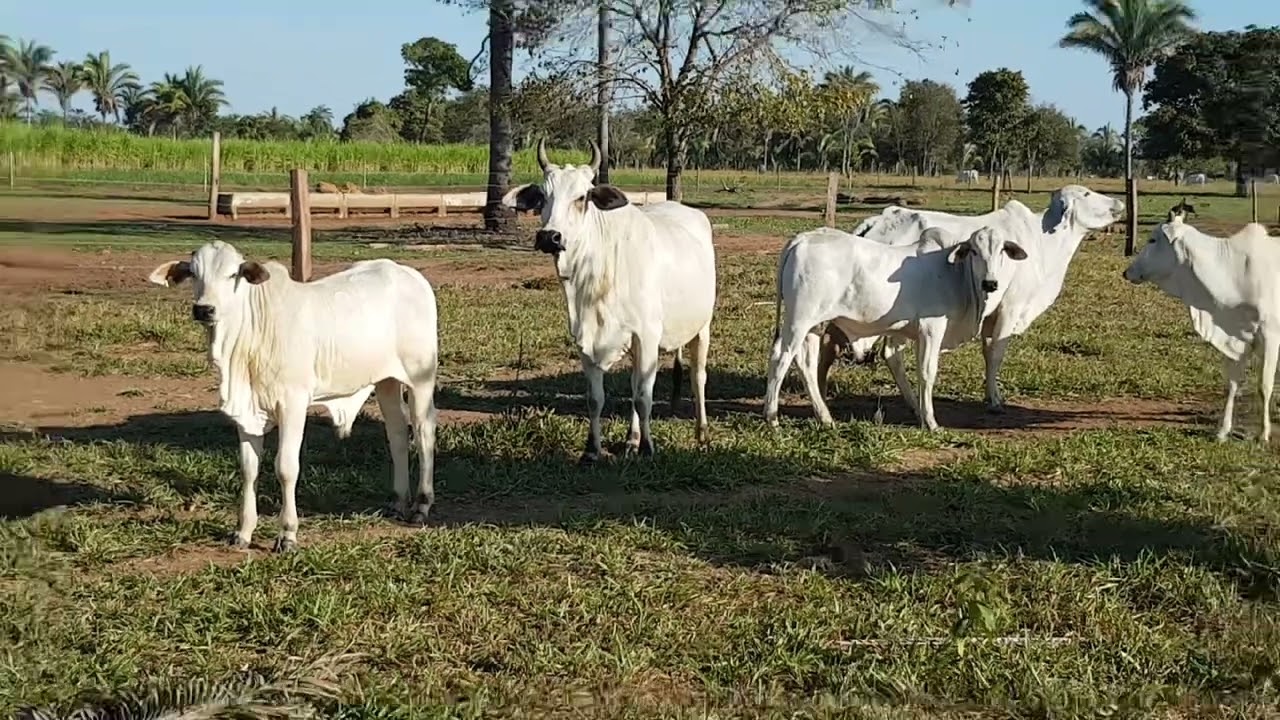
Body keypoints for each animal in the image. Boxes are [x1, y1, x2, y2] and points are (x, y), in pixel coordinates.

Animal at [147, 241, 440, 552]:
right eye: (193, 273)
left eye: (232, 274)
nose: (204, 309)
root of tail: (410, 276)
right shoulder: (247, 412)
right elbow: (249, 469)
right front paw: (243, 531)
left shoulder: (293, 405)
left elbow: (286, 468)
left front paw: (287, 534)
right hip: (385, 380)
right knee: (397, 432)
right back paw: (398, 501)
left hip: (420, 378)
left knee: (424, 432)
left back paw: (421, 505)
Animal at [506, 139, 717, 464]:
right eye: (542, 196)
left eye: (582, 197)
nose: (549, 237)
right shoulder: (585, 339)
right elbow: (597, 398)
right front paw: (593, 450)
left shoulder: (648, 335)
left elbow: (644, 396)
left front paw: (648, 448)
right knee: (634, 381)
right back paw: (631, 439)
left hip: (702, 327)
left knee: (698, 377)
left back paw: (701, 433)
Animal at [764, 223, 1030, 431]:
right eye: (974, 250)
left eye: (1001, 250)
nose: (990, 283)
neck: (955, 274)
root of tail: (802, 239)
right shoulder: (931, 328)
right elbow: (927, 372)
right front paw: (931, 422)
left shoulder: (905, 332)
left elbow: (900, 363)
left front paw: (919, 412)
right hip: (799, 320)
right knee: (780, 357)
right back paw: (772, 417)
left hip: (814, 325)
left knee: (806, 364)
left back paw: (825, 417)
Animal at [814, 185, 1124, 413]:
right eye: (1086, 194)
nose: (1119, 203)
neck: (1042, 241)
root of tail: (879, 220)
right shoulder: (1009, 308)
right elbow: (996, 353)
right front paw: (995, 400)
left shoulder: (989, 315)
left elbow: (987, 351)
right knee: (877, 351)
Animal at [1123, 217, 1280, 443]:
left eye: (1153, 240)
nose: (1126, 272)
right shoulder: (1233, 338)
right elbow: (1232, 385)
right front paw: (1222, 431)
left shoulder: (1270, 336)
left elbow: (1264, 386)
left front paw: (1263, 434)